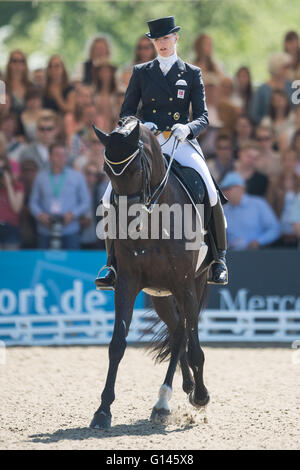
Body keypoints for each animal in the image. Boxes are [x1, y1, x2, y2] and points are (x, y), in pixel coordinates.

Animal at [90, 116, 210, 430]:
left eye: (136, 168)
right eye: (106, 170)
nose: (127, 221)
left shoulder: (185, 284)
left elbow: (196, 347)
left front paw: (201, 397)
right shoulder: (127, 283)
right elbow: (117, 345)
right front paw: (103, 410)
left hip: (195, 285)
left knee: (185, 333)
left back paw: (174, 397)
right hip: (160, 295)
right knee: (178, 331)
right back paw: (168, 398)